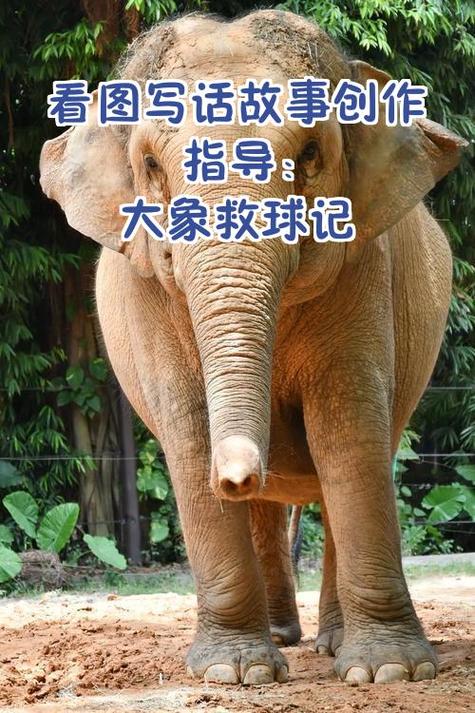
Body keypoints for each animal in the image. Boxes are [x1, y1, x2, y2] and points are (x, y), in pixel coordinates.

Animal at [40, 10, 467, 687]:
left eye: (312, 154)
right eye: (151, 166)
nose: (236, 475)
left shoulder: (364, 268)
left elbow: (348, 429)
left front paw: (389, 674)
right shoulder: (147, 292)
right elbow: (189, 436)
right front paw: (232, 674)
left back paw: (329, 646)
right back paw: (281, 638)